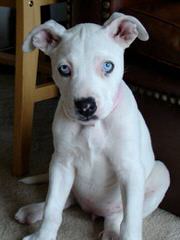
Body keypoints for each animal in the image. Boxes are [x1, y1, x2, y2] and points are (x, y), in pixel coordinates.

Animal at [15, 12, 170, 240]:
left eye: (108, 66)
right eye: (64, 69)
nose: (86, 106)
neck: (93, 128)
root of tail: (93, 210)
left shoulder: (130, 170)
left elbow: (130, 222)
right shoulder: (61, 164)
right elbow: (53, 208)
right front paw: (43, 235)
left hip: (161, 175)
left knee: (117, 215)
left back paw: (112, 232)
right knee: (65, 200)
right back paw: (33, 210)